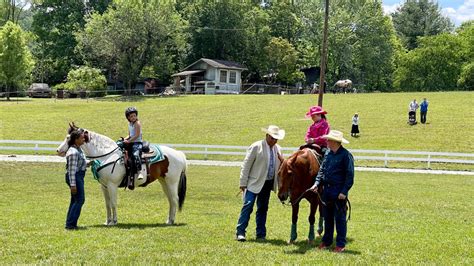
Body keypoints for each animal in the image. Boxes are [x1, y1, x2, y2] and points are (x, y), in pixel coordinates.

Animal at [57, 123, 187, 225]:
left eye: (69, 137)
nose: (58, 150)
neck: (107, 155)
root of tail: (179, 154)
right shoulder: (104, 186)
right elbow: (107, 204)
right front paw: (108, 221)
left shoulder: (112, 185)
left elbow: (113, 203)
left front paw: (114, 222)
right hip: (164, 181)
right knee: (171, 200)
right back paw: (169, 220)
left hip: (172, 182)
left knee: (175, 199)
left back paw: (171, 221)